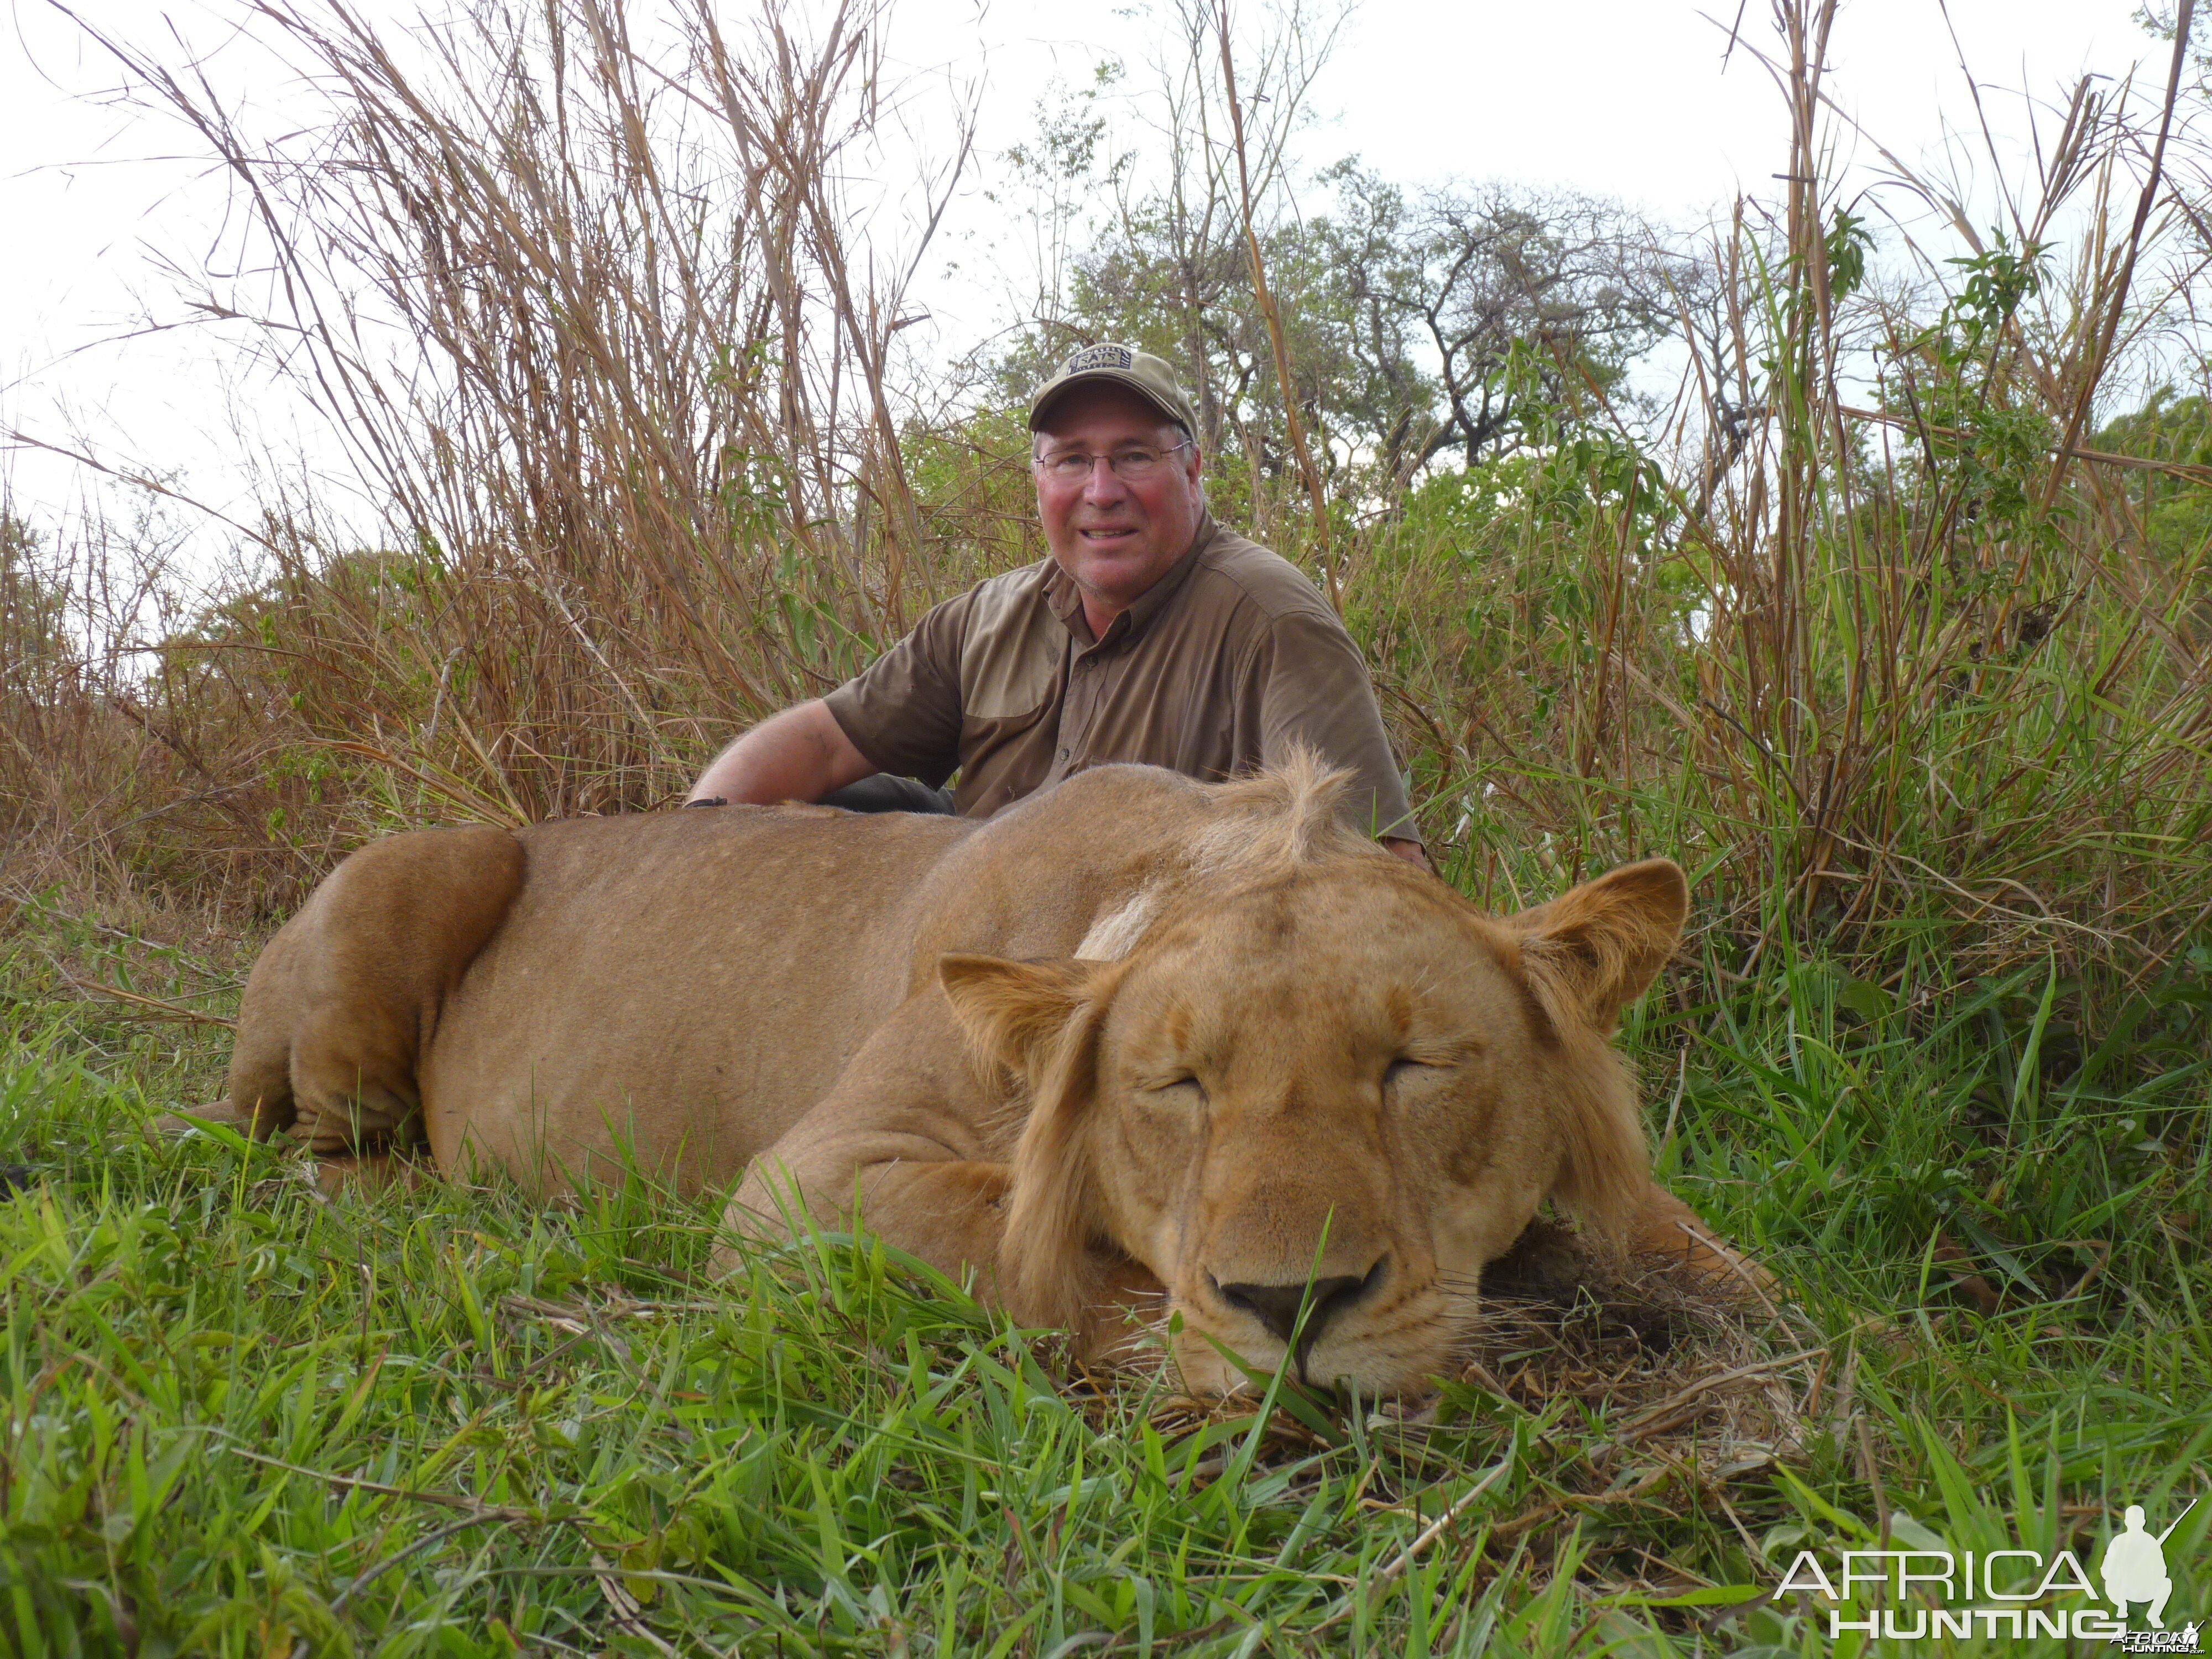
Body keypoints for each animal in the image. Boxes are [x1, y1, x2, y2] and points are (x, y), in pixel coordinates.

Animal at [211, 765, 1761, 1407]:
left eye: (1413, 1065)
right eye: (1175, 1085)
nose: (1295, 1305)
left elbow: (1702, 1253)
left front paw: (1747, 1304)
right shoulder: (807, 1182)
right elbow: (1032, 1251)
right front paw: (1213, 1351)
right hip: (422, 866)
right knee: (317, 1156)